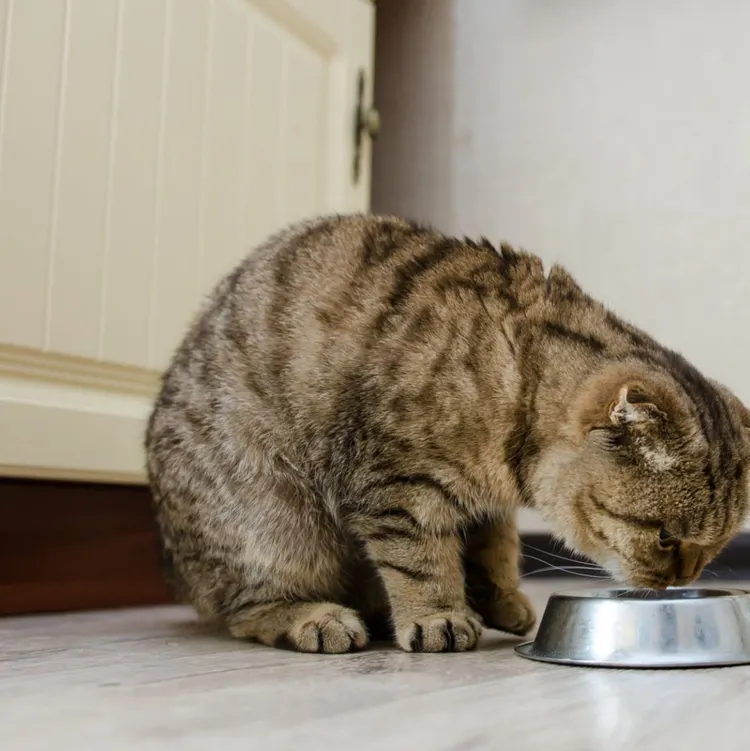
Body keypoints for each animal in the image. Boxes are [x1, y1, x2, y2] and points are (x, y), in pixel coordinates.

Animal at [144, 214, 748, 656]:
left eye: (712, 548)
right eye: (666, 537)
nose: (679, 581)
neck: (519, 378)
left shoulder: (486, 506)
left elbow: (492, 548)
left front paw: (499, 597)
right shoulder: (397, 487)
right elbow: (421, 560)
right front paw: (440, 615)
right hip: (276, 522)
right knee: (246, 610)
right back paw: (316, 618)